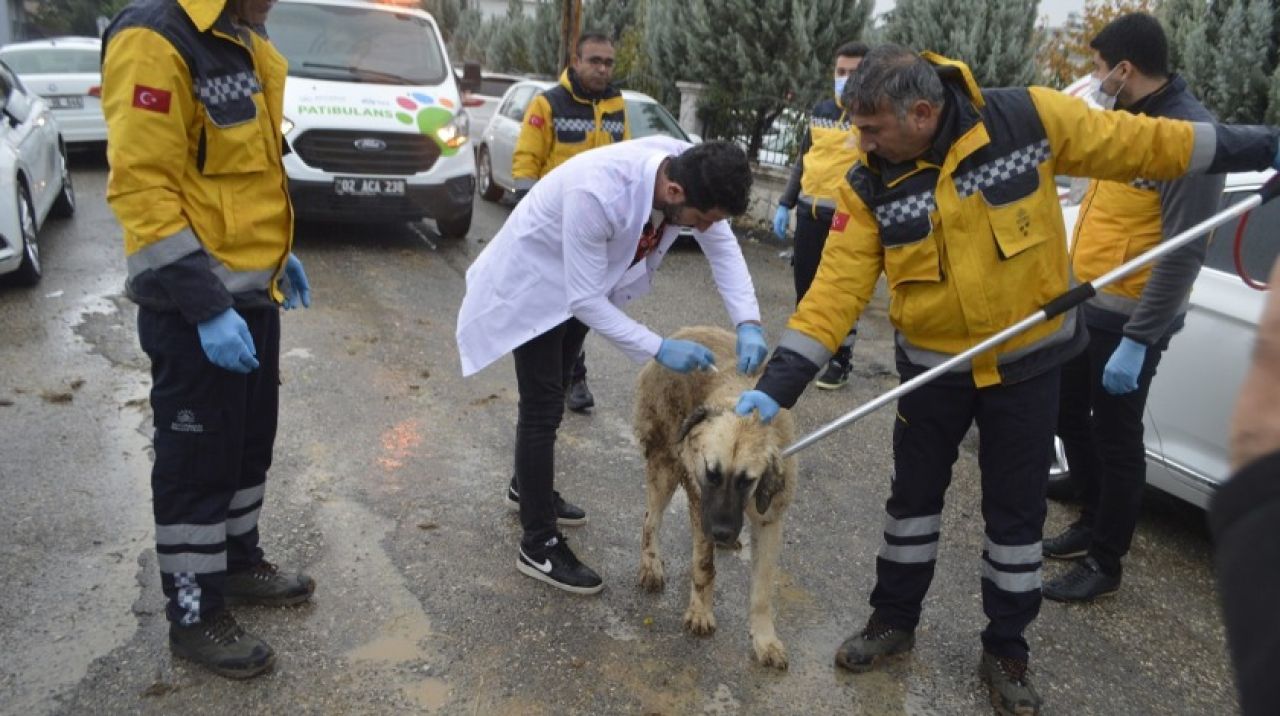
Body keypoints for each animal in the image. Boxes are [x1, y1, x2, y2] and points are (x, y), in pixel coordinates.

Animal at [632, 327, 793, 671]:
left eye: (747, 480)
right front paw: (700, 612)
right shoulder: (700, 501)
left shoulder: (770, 521)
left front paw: (764, 639)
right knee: (650, 519)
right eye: (712, 473)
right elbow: (703, 566)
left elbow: (762, 590)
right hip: (665, 467)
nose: (720, 532)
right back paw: (651, 564)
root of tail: (682, 332)